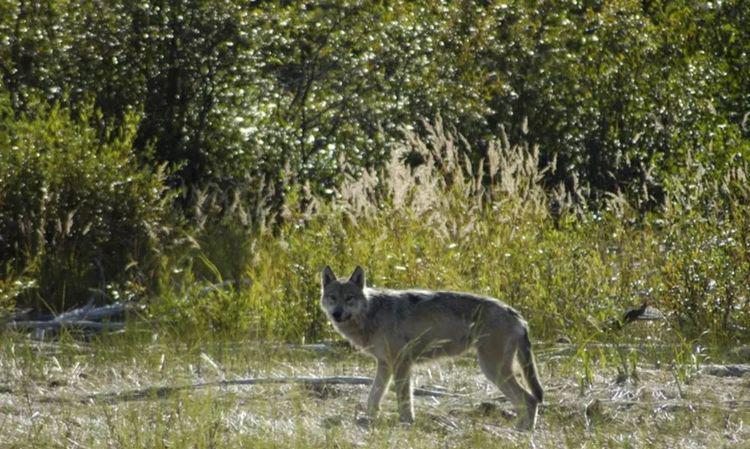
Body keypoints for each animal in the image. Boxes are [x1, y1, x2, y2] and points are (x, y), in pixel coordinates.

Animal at [320, 264, 544, 428]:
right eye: (333, 297)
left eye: (349, 298)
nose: (337, 314)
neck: (372, 313)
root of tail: (517, 315)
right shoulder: (384, 364)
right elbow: (373, 398)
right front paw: (368, 420)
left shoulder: (402, 363)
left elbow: (404, 399)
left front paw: (407, 424)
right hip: (495, 369)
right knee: (527, 401)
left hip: (492, 369)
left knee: (530, 399)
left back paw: (521, 431)